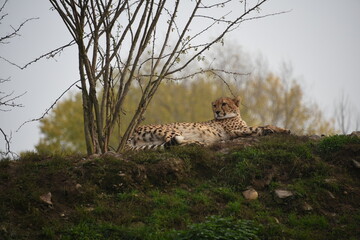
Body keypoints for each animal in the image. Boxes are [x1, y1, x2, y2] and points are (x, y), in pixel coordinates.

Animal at [126, 96, 290, 149]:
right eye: (214, 105)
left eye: (224, 104)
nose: (217, 112)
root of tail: (133, 130)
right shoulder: (233, 131)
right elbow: (260, 126)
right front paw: (275, 130)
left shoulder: (234, 131)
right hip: (173, 130)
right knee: (174, 143)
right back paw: (201, 143)